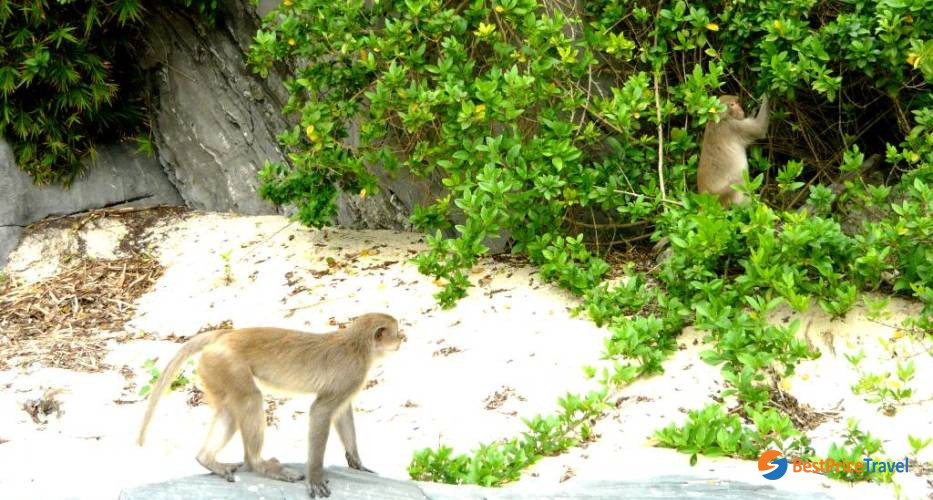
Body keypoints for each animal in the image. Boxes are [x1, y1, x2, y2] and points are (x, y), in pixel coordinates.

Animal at [137, 313, 402, 498]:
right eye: (396, 332)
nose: (402, 339)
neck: (359, 345)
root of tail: (225, 335)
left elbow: (342, 412)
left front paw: (357, 463)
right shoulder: (352, 372)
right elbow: (321, 411)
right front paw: (316, 477)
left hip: (213, 368)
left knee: (230, 410)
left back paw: (207, 459)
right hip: (226, 363)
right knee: (250, 400)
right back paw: (258, 464)